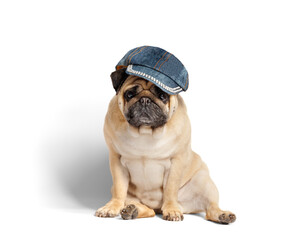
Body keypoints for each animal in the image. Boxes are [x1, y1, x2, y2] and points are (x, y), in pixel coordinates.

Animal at [95, 67, 236, 223]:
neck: (146, 131)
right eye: (129, 94)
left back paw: (223, 215)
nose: (145, 100)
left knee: (210, 209)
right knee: (146, 210)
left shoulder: (176, 162)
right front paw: (111, 207)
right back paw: (132, 210)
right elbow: (119, 189)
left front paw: (171, 210)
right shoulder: (117, 161)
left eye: (162, 96)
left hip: (204, 183)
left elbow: (170, 189)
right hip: (129, 197)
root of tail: (157, 208)